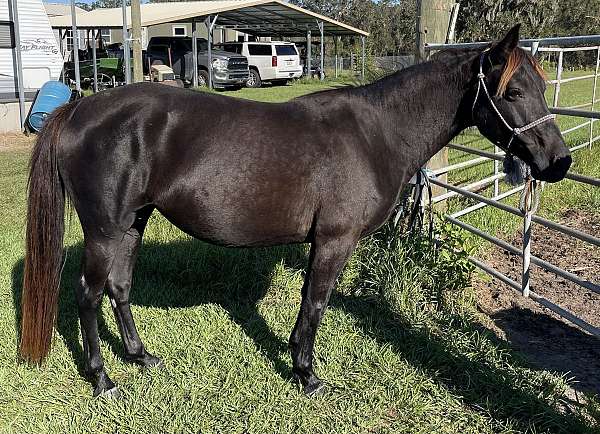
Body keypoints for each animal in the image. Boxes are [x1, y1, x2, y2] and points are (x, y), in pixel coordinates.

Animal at [19, 24, 572, 396]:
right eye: (513, 91)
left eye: (542, 88)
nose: (560, 162)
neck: (376, 133)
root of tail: (79, 108)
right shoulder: (333, 241)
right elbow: (316, 304)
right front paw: (306, 375)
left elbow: (310, 302)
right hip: (104, 229)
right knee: (89, 295)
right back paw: (103, 379)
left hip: (132, 223)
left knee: (120, 288)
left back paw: (139, 356)